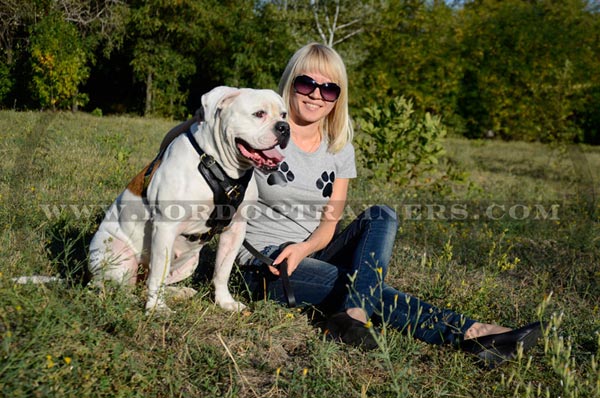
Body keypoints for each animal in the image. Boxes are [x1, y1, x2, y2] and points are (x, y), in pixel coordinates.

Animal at [88, 87, 290, 314]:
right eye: (259, 114)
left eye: (283, 115)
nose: (284, 127)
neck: (218, 166)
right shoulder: (165, 227)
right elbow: (158, 271)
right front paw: (157, 308)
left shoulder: (235, 229)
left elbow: (222, 270)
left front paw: (224, 302)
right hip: (114, 254)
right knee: (113, 287)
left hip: (190, 262)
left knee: (147, 284)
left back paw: (179, 292)